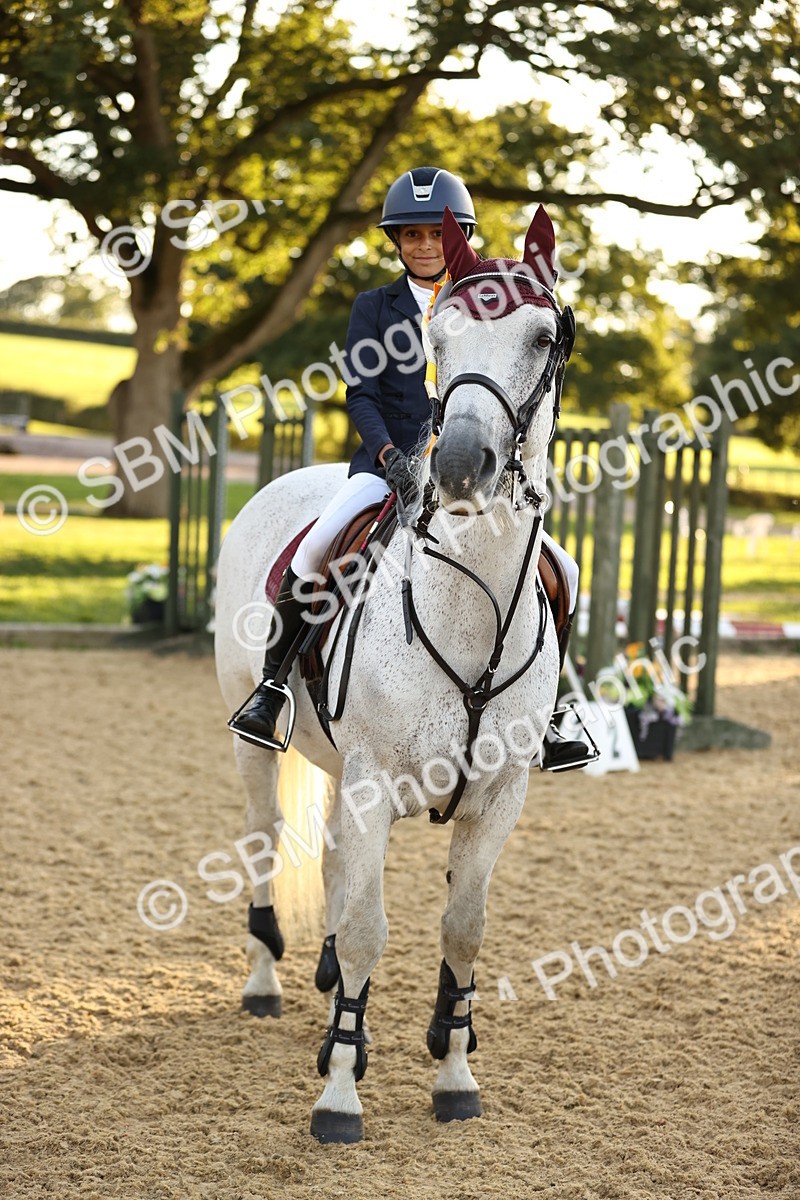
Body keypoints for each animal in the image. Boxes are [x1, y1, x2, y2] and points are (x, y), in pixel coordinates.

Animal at [214, 204, 576, 1144]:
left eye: (542, 336)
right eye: (437, 338)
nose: (456, 467)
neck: (469, 603)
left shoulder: (498, 794)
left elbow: (462, 928)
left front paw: (453, 1068)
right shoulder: (377, 779)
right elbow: (371, 929)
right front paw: (340, 1092)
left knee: (338, 863)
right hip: (258, 740)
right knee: (267, 837)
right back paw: (266, 982)